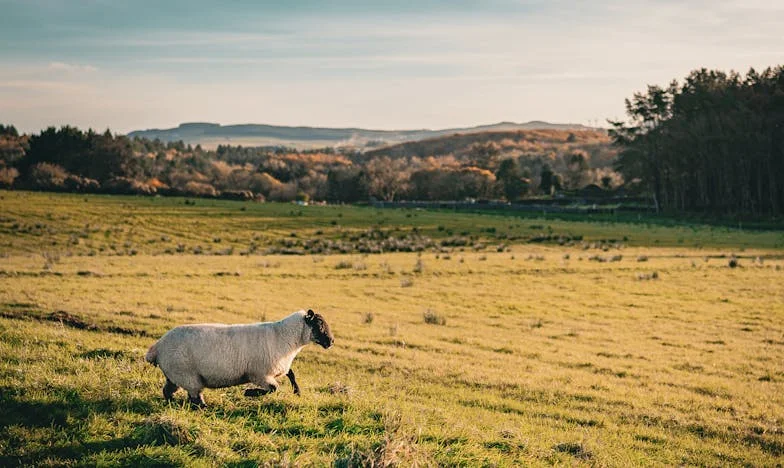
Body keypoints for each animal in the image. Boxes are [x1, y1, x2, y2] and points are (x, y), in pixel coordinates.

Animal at [145, 308, 332, 406]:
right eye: (319, 324)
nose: (331, 341)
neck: (284, 336)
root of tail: (157, 348)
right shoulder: (259, 374)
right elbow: (274, 388)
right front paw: (249, 393)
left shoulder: (277, 368)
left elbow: (291, 374)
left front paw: (297, 392)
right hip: (187, 375)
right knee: (195, 397)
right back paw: (204, 408)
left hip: (175, 375)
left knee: (168, 391)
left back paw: (173, 403)